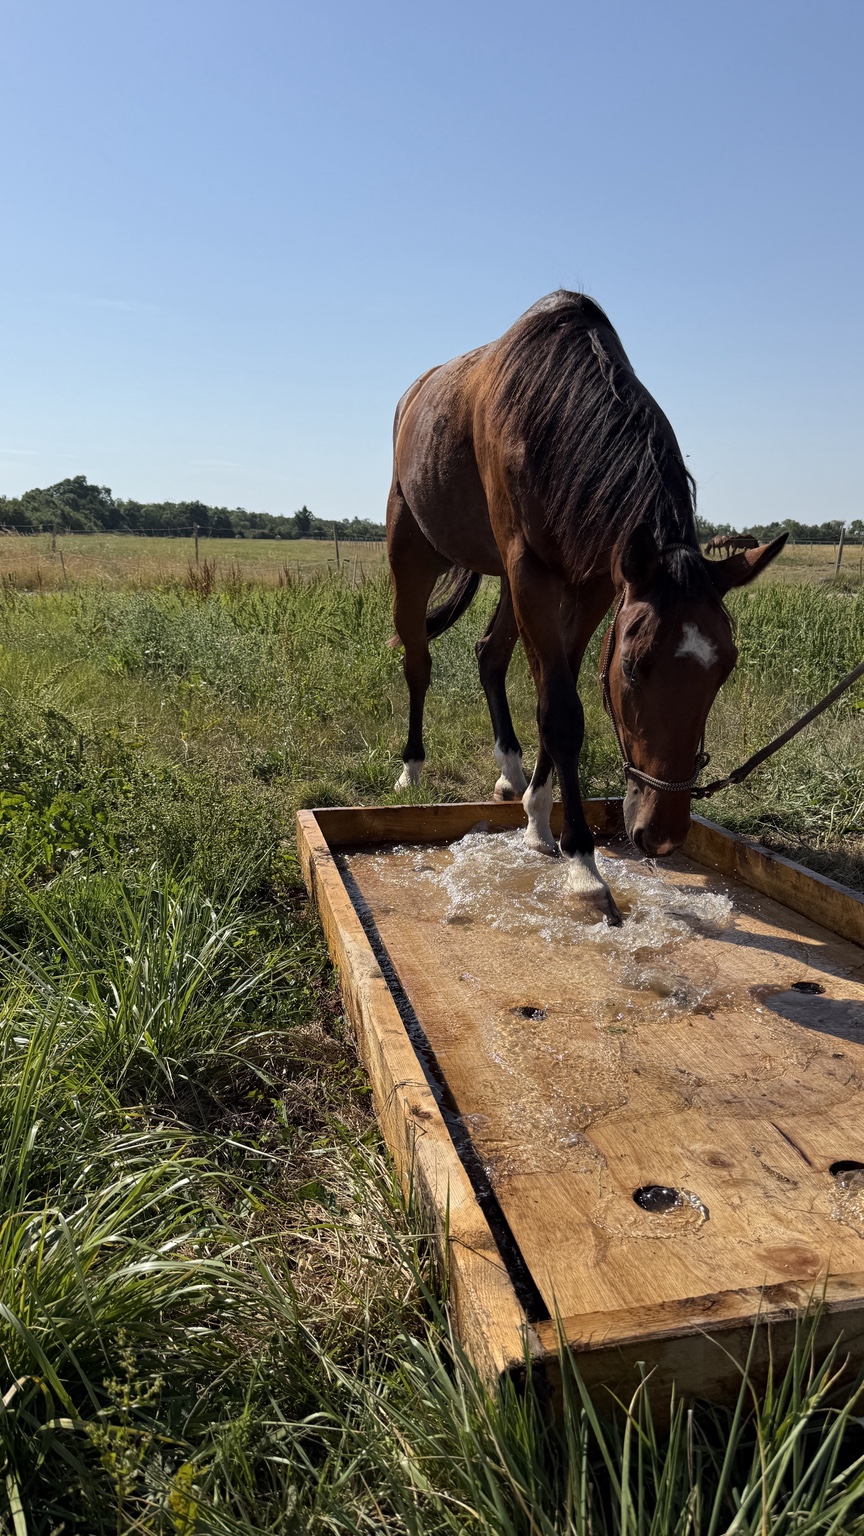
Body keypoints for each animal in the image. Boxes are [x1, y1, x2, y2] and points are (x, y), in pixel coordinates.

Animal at [386, 292, 786, 924]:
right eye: (634, 668)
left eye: (724, 670)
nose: (662, 835)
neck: (550, 408)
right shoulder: (530, 571)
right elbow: (560, 712)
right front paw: (582, 865)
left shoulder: (595, 581)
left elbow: (558, 692)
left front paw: (536, 812)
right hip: (412, 552)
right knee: (418, 661)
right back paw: (413, 768)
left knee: (489, 655)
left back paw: (509, 772)